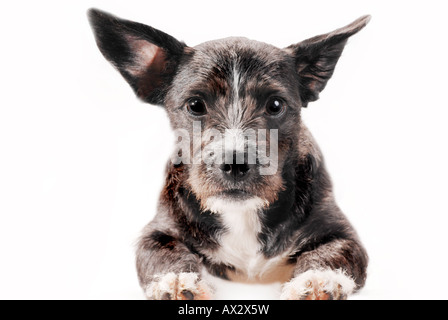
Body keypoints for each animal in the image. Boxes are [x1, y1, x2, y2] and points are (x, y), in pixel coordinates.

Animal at [87, 9, 372, 300]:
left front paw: (317, 279)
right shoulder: (156, 231)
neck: (243, 213)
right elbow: (162, 252)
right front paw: (177, 280)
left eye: (276, 105)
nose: (235, 164)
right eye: (195, 105)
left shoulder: (342, 233)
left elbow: (333, 252)